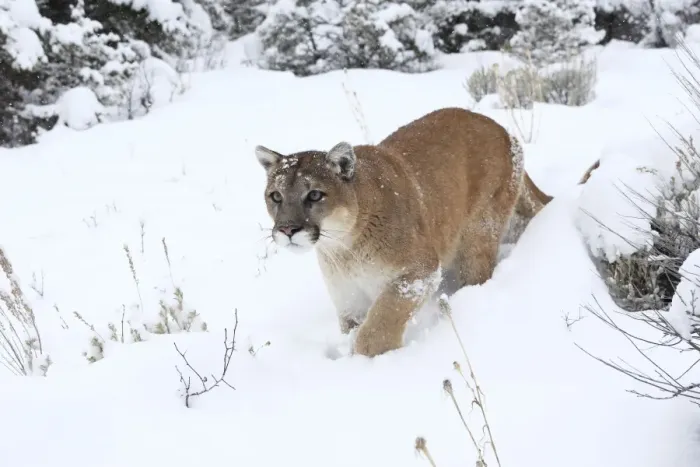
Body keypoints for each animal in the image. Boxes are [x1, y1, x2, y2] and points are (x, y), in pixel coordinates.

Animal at [254, 107, 556, 357]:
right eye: (276, 196)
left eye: (315, 195)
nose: (287, 229)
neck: (344, 247)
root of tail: (502, 129)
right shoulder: (349, 300)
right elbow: (355, 327)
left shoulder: (418, 271)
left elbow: (382, 318)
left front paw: (370, 356)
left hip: (478, 234)